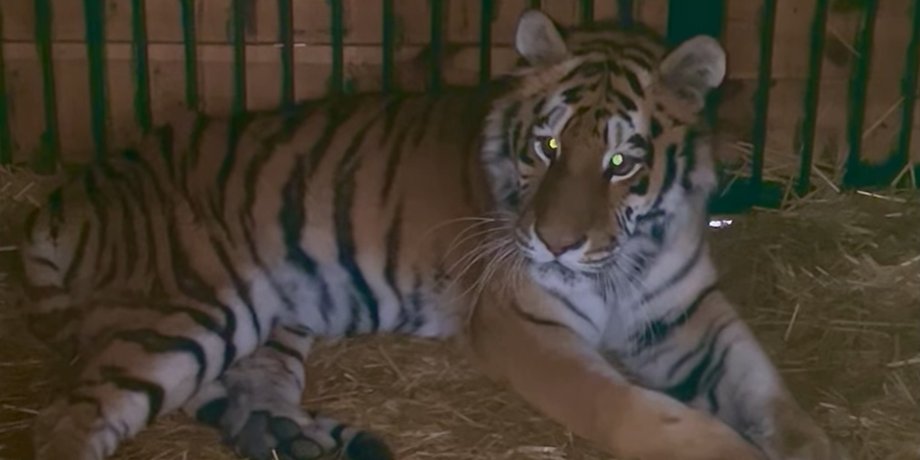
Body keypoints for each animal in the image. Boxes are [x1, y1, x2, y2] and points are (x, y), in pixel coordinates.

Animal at [16, 8, 847, 460]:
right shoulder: (527, 330)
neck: (626, 255)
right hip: (192, 308)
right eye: (548, 147)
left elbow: (769, 393)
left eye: (620, 162)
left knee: (250, 397)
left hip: (268, 325)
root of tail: (69, 189)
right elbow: (634, 412)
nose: (554, 243)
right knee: (70, 422)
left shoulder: (690, 314)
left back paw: (305, 441)